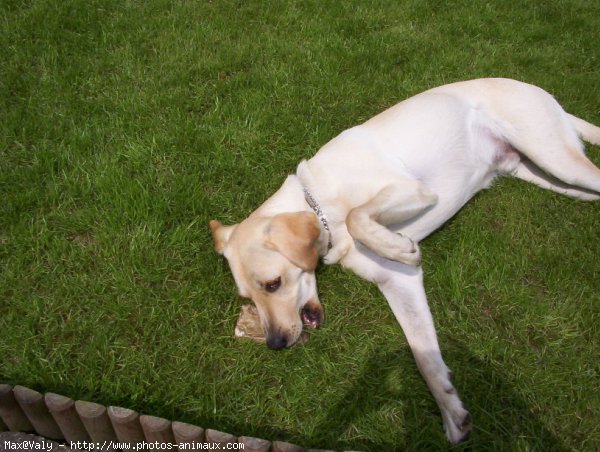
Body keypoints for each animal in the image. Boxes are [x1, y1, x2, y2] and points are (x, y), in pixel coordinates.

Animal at [207, 77, 600, 442]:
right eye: (248, 299)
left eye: (273, 284)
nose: (274, 345)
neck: (318, 202)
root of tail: (537, 89)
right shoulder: (399, 282)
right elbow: (424, 354)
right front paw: (451, 410)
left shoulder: (412, 190)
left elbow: (359, 216)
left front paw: (398, 246)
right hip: (550, 177)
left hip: (554, 157)